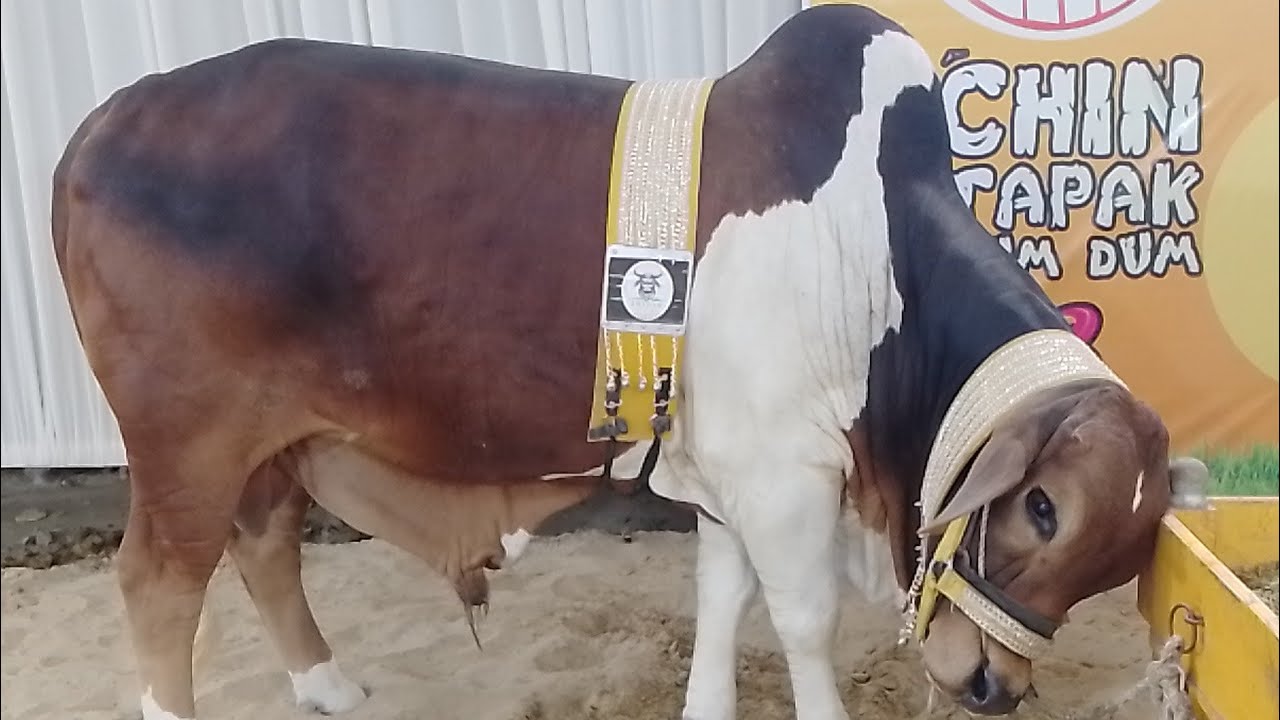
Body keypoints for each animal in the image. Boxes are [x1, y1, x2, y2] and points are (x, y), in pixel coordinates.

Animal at [49, 4, 1206, 720]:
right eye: (1042, 509)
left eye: (1117, 563)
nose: (989, 685)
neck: (878, 251)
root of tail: (105, 119)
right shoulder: (785, 474)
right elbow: (802, 621)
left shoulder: (730, 467)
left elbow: (722, 599)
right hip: (186, 439)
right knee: (159, 585)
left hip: (267, 442)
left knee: (264, 546)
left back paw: (328, 685)